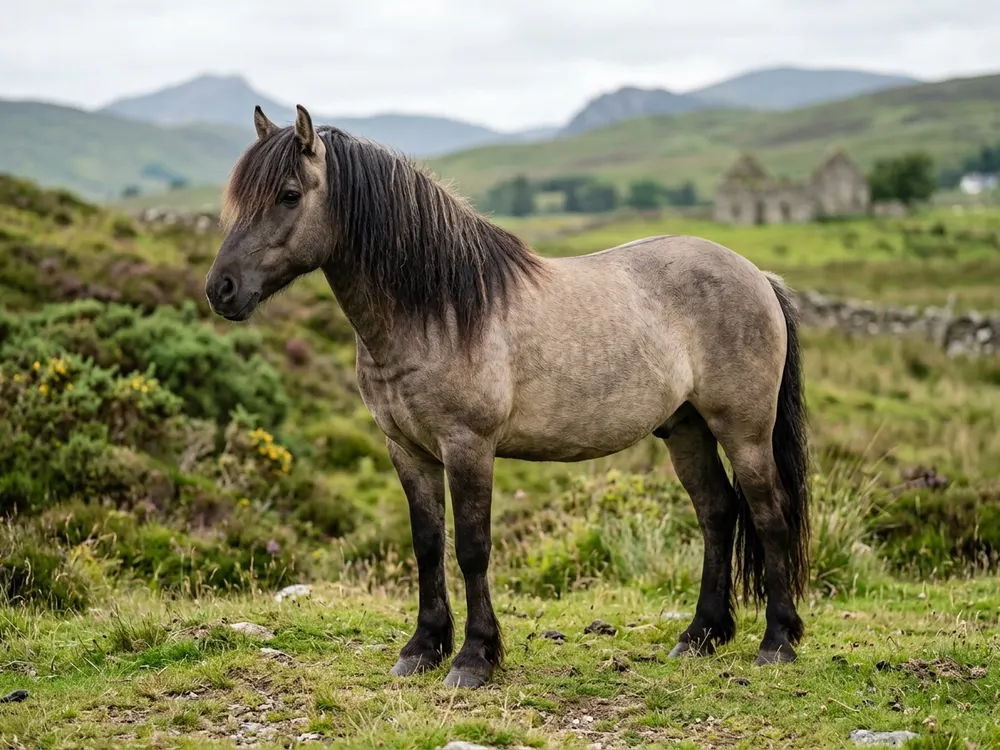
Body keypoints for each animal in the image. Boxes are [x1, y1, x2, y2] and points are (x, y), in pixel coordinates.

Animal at [205, 104, 811, 689]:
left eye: (289, 195)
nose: (221, 289)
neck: (439, 309)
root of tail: (756, 274)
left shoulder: (468, 446)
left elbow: (472, 548)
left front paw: (474, 658)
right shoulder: (407, 450)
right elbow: (427, 543)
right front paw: (422, 649)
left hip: (743, 429)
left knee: (768, 513)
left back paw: (777, 642)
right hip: (685, 428)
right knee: (717, 512)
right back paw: (701, 635)